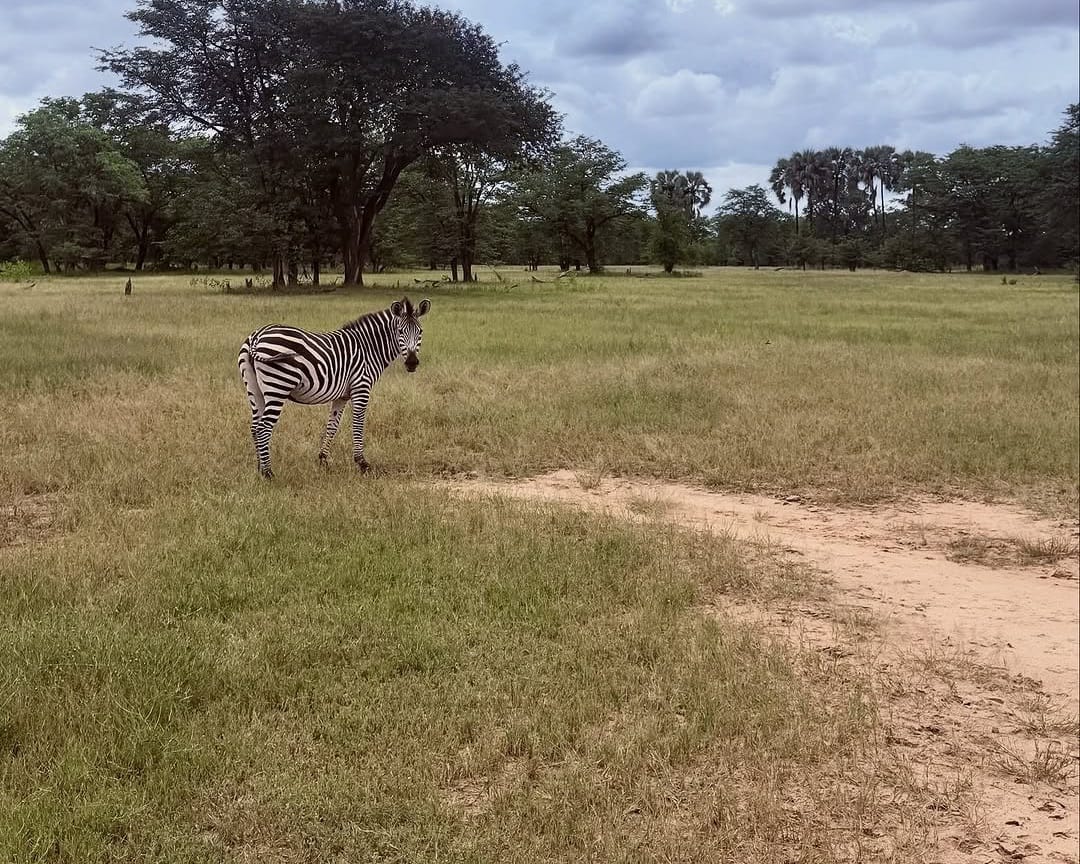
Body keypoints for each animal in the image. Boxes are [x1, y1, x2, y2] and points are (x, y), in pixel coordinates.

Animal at [237, 296, 430, 478]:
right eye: (400, 332)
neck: (369, 348)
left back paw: (259, 468)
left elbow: (332, 425)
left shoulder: (342, 395)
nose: (412, 363)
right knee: (263, 427)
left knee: (255, 427)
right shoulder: (361, 387)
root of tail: (256, 336)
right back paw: (268, 473)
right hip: (277, 386)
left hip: (255, 390)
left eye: (420, 332)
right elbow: (358, 423)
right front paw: (362, 463)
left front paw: (323, 459)